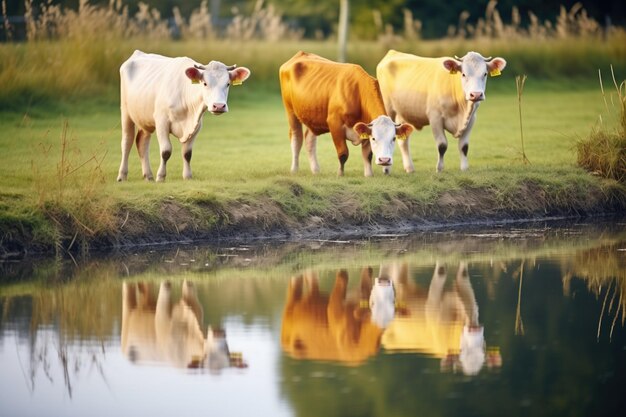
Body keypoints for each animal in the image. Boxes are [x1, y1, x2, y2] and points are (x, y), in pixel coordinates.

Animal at [117, 50, 249, 180]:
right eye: (205, 83)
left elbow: (187, 153)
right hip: (126, 112)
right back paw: (122, 175)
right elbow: (166, 151)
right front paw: (161, 176)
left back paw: (148, 176)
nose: (219, 106)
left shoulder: (196, 126)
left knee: (142, 142)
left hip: (144, 119)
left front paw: (187, 176)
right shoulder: (161, 121)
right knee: (127, 142)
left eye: (227, 84)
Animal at [280, 51, 412, 176]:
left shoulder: (364, 128)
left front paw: (369, 175)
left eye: (393, 138)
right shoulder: (335, 124)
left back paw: (315, 170)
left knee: (309, 139)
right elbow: (343, 153)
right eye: (374, 138)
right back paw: (294, 169)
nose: (384, 160)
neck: (357, 93)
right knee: (296, 138)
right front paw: (340, 173)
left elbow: (367, 155)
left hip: (312, 115)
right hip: (291, 112)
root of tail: (299, 55)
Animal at [372, 50, 504, 172]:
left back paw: (409, 168)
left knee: (403, 141)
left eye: (485, 74)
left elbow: (464, 146)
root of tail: (393, 52)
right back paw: (387, 169)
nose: (476, 94)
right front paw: (439, 169)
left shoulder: (472, 119)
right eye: (464, 74)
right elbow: (442, 145)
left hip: (403, 114)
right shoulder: (435, 118)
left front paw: (464, 168)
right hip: (388, 109)